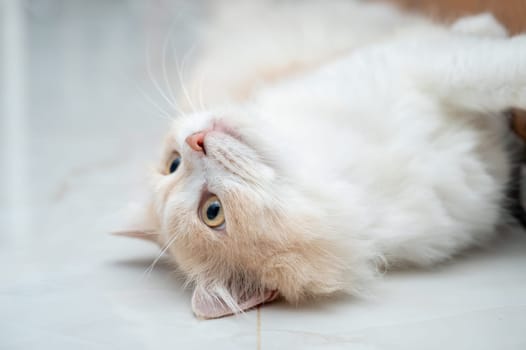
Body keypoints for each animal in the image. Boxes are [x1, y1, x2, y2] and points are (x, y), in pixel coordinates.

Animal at [117, 1, 526, 320]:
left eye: (172, 163)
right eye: (212, 212)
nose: (195, 140)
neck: (326, 168)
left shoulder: (410, 65)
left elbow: (477, 68)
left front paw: (490, 31)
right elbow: (499, 69)